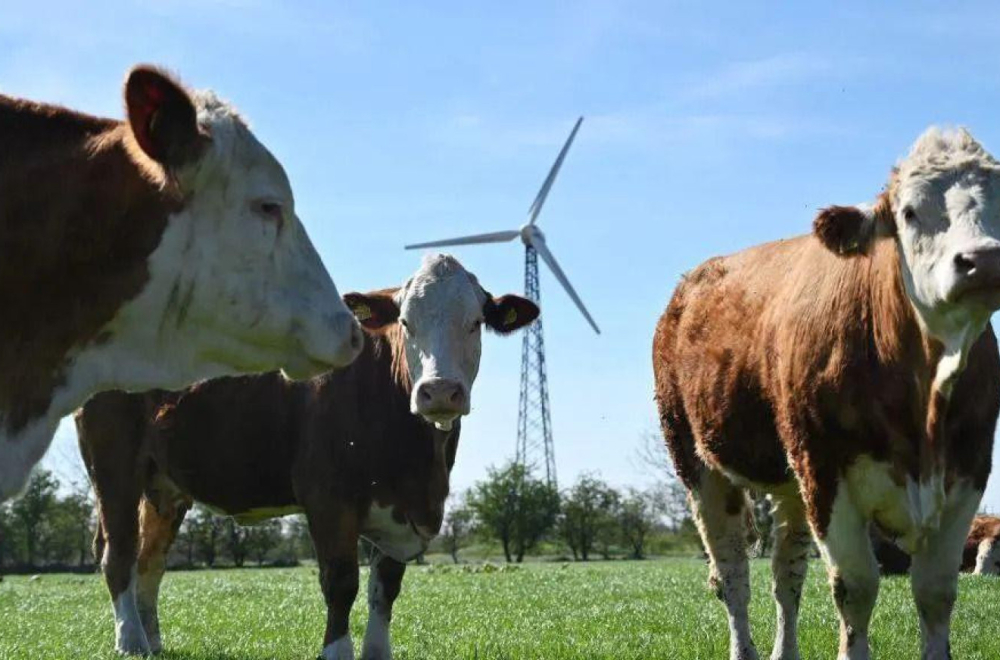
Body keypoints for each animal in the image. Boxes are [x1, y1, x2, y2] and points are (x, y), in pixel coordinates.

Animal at [77, 254, 540, 660]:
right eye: (406, 322)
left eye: (475, 323)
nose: (440, 391)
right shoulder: (328, 496)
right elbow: (341, 581)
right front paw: (336, 651)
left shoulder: (401, 510)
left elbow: (385, 587)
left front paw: (377, 651)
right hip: (114, 464)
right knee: (118, 552)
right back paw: (130, 641)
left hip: (164, 485)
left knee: (149, 560)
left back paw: (151, 640)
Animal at [652, 125, 1000, 660]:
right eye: (909, 212)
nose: (983, 260)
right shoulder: (826, 473)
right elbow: (855, 587)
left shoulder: (969, 472)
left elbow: (936, 591)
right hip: (698, 464)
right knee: (732, 574)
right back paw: (744, 647)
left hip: (791, 480)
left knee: (786, 575)